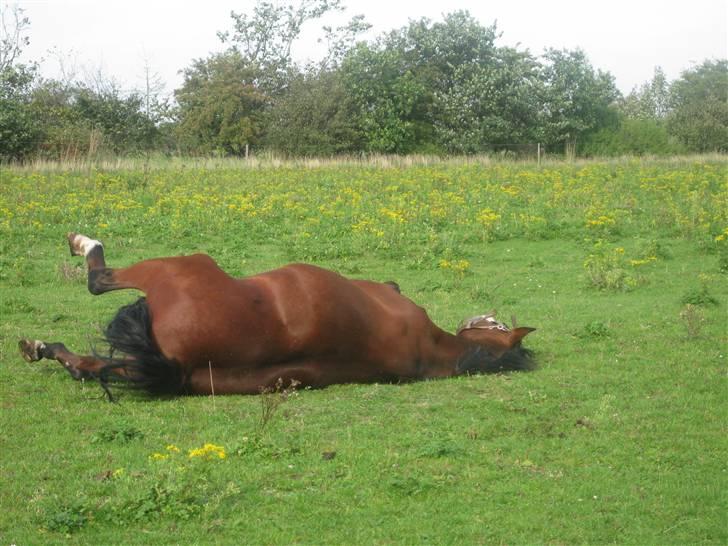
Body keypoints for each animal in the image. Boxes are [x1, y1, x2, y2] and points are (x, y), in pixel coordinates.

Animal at [17, 231, 536, 396]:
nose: (486, 314)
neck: (434, 348)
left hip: (180, 266)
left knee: (99, 280)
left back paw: (82, 249)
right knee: (93, 366)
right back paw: (48, 350)